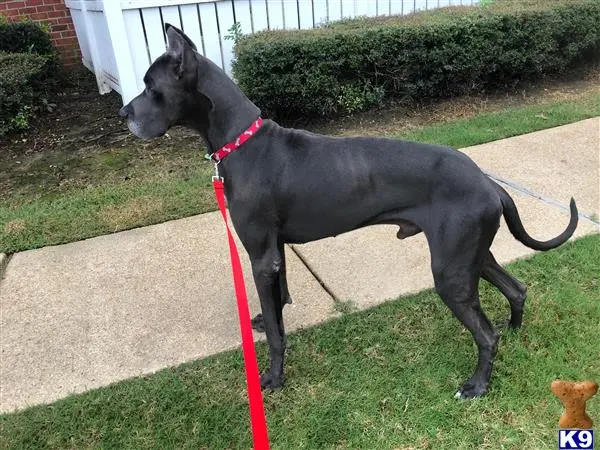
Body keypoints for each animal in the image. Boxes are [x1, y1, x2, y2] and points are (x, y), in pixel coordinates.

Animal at [119, 23, 580, 398]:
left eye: (150, 85)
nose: (123, 114)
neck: (242, 141)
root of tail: (488, 182)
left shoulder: (260, 255)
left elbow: (277, 334)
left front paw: (274, 378)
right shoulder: (274, 250)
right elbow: (280, 297)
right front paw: (272, 317)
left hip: (451, 269)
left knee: (485, 335)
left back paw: (478, 385)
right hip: (470, 255)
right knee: (516, 289)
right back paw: (515, 333)